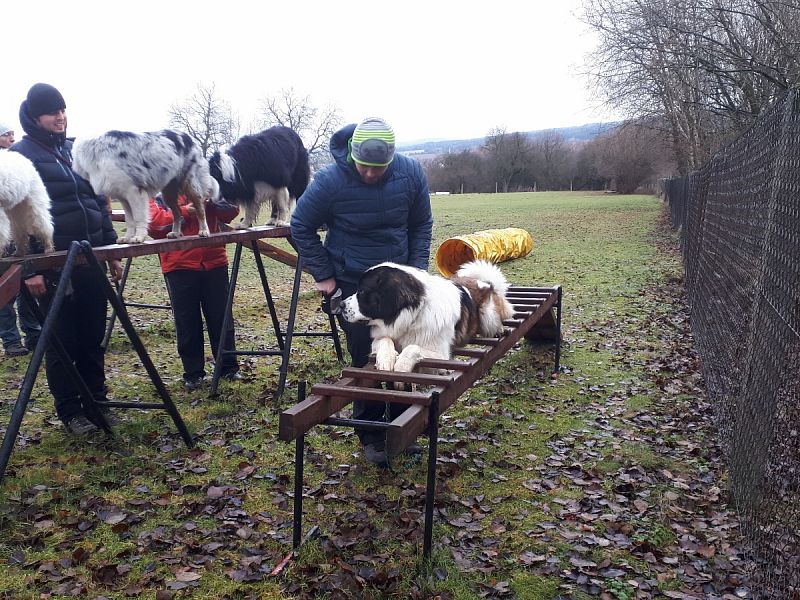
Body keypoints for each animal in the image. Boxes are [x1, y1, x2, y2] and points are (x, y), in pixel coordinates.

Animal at [74, 131, 217, 244]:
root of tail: (189, 138)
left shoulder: (134, 192)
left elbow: (139, 217)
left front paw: (139, 237)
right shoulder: (123, 197)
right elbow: (129, 220)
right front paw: (127, 238)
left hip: (189, 184)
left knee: (200, 208)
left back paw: (204, 230)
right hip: (168, 193)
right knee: (178, 212)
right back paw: (175, 233)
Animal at [340, 258, 516, 372]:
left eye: (362, 292)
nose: (340, 305)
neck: (413, 316)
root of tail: (484, 282)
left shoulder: (441, 354)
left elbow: (413, 347)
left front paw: (401, 365)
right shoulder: (381, 337)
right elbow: (385, 340)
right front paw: (386, 359)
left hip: (488, 314)